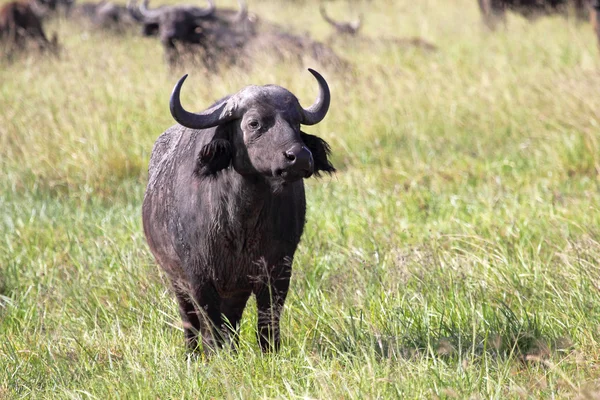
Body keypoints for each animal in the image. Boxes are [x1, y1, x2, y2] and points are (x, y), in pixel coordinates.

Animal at [143, 68, 336, 354]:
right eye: (254, 123)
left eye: (296, 123)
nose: (300, 157)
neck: (240, 222)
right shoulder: (198, 278)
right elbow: (209, 324)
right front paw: (215, 354)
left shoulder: (277, 271)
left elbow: (268, 318)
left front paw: (269, 351)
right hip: (176, 281)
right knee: (190, 322)